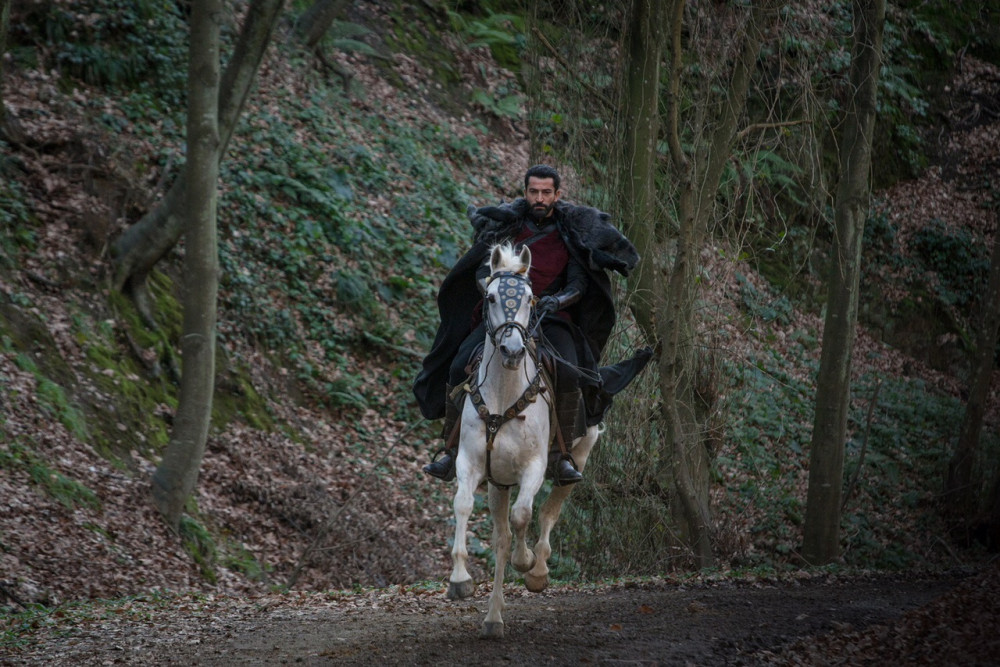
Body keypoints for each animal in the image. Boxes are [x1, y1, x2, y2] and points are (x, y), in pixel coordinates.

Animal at [448, 243, 600, 640]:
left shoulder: (533, 467)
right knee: (500, 539)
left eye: (531, 299)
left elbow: (524, 515)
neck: (503, 397)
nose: (513, 351)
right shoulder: (470, 464)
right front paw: (460, 579)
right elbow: (463, 505)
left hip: (577, 457)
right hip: (498, 483)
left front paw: (527, 561)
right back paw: (493, 618)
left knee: (549, 511)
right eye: (490, 297)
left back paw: (538, 570)